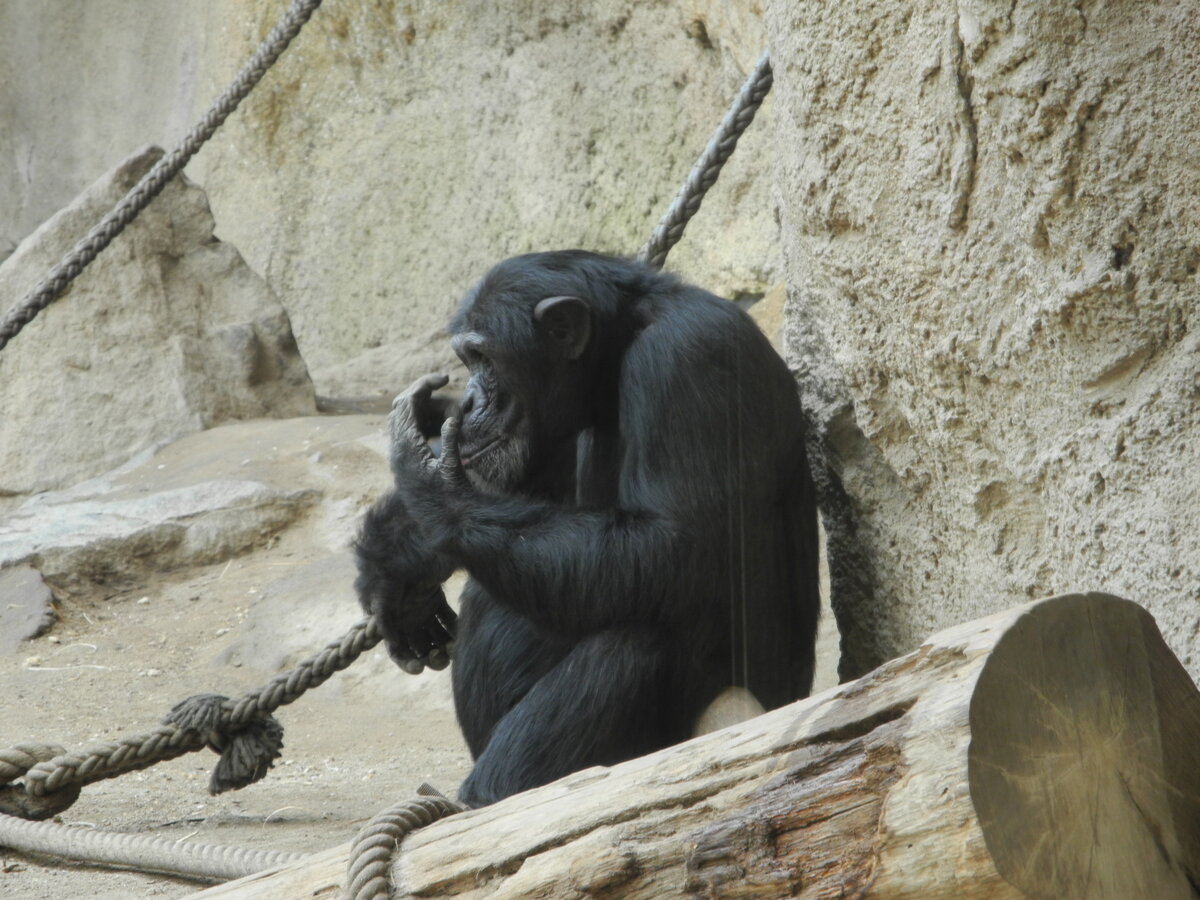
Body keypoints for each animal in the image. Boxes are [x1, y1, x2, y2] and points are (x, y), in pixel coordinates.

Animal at [352, 248, 816, 811]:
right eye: (467, 361)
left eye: (484, 359)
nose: (468, 403)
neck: (615, 353)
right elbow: (527, 495)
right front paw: (393, 563)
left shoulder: (688, 358)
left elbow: (673, 543)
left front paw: (429, 478)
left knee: (635, 638)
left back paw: (490, 795)